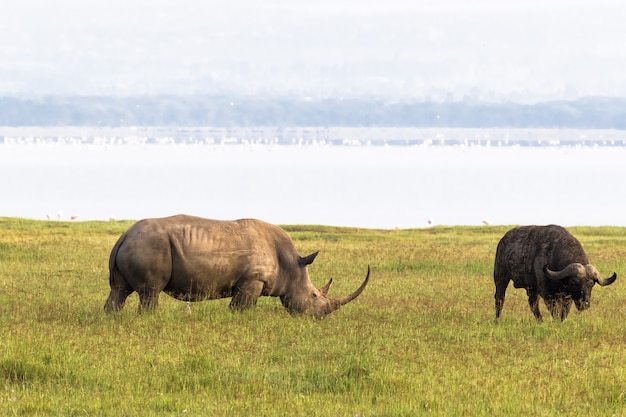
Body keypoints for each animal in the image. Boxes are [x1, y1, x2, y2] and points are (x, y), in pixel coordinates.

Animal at [102, 214, 366, 318]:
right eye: (314, 296)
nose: (319, 318)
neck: (292, 265)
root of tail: (123, 236)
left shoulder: (249, 282)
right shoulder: (252, 280)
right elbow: (241, 309)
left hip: (136, 245)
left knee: (119, 291)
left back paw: (112, 318)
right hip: (148, 246)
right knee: (150, 293)